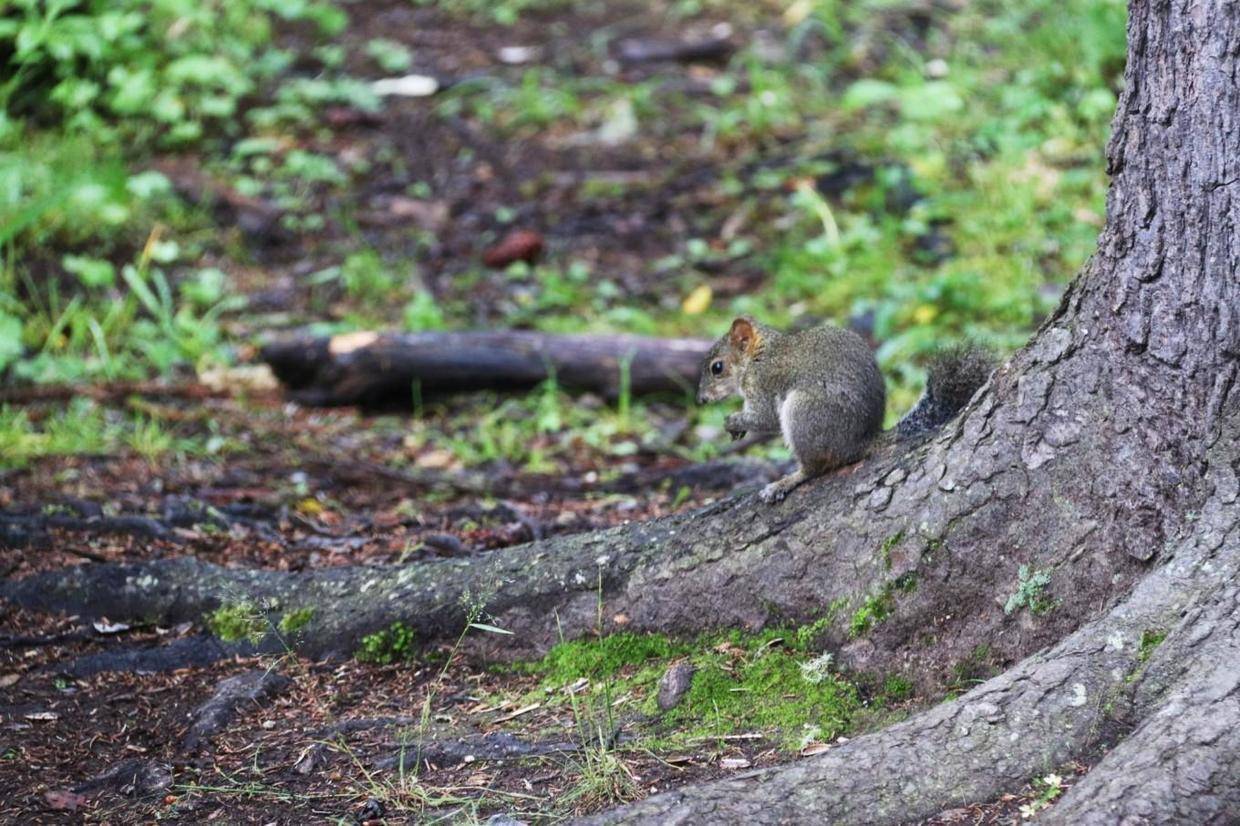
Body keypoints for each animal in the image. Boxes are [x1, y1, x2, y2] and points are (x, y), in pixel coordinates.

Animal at [704, 316, 992, 501]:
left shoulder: (763, 384)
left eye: (717, 367)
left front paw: (733, 421)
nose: (702, 399)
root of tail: (863, 441)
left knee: (814, 468)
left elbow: (765, 418)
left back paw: (785, 482)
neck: (758, 355)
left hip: (805, 415)